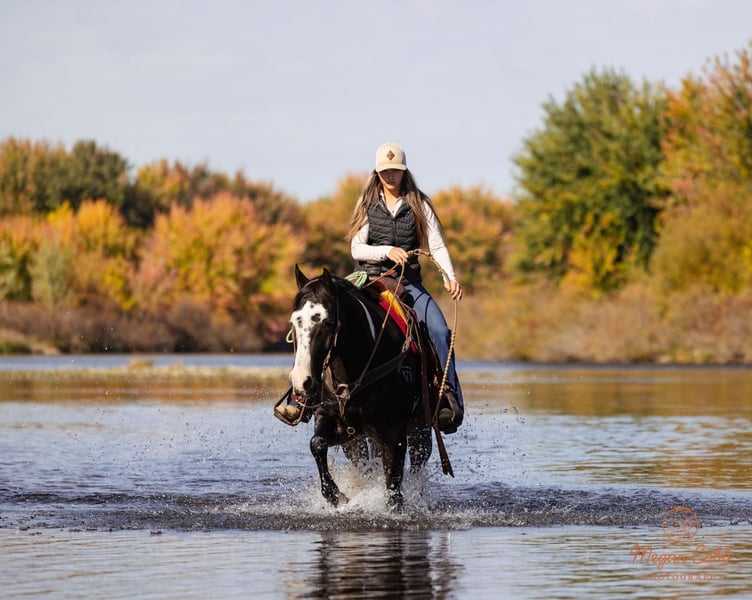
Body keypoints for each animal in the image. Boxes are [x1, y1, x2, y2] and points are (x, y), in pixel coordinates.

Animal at [283, 265, 442, 510]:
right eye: (294, 322)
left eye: (327, 323)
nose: (302, 381)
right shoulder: (336, 423)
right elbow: (316, 444)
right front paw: (336, 496)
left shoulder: (395, 434)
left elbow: (394, 489)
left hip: (420, 427)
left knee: (418, 463)